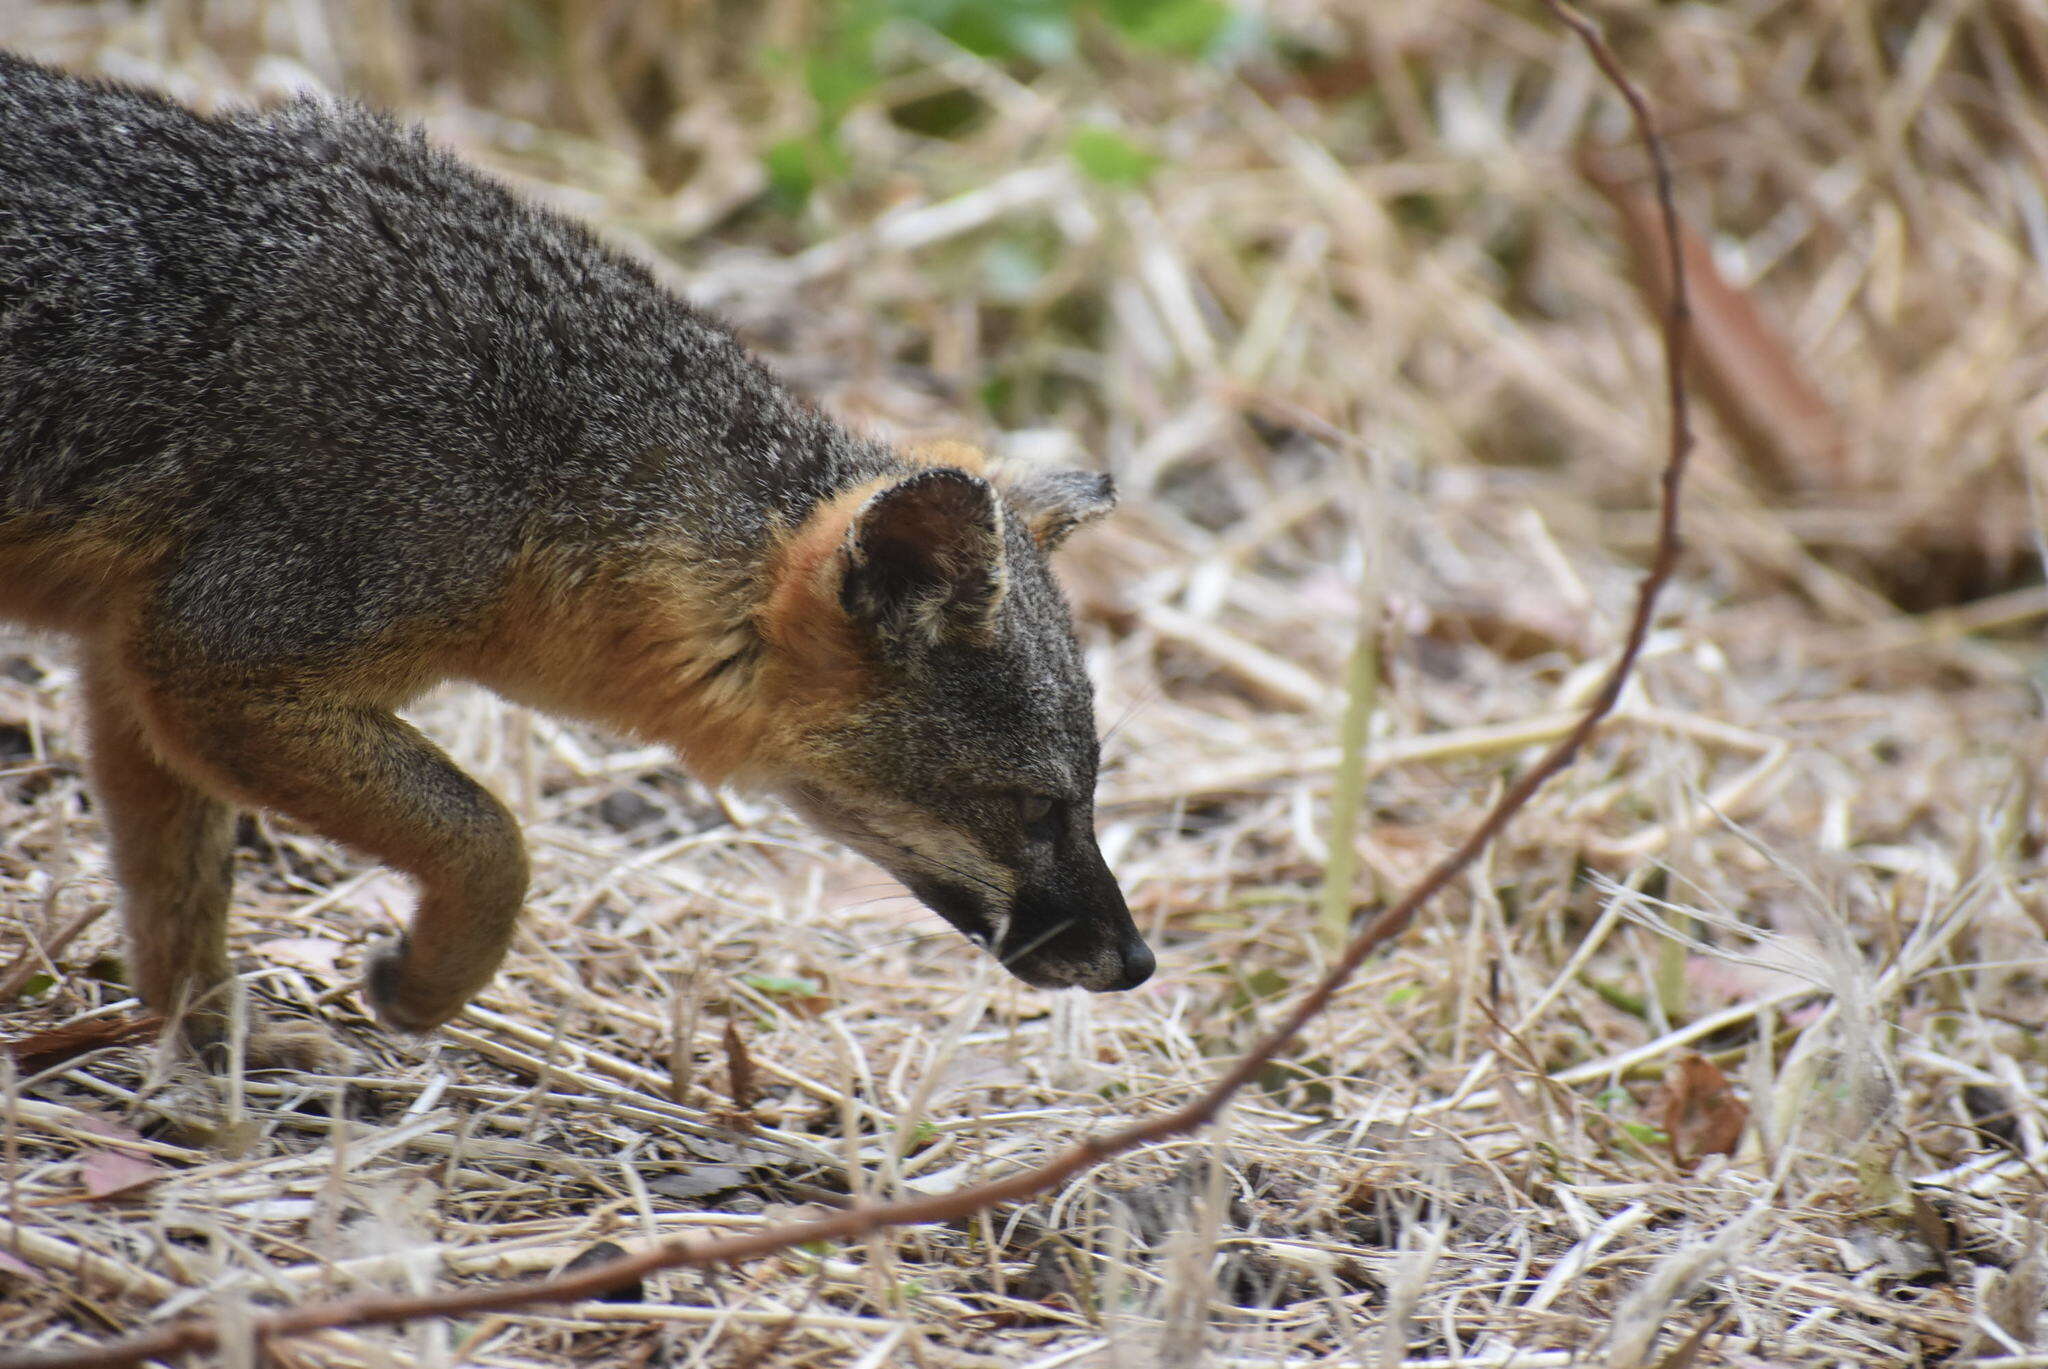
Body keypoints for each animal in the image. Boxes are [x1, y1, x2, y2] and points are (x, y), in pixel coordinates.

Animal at [0, 56, 1155, 1065]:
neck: (540, 452)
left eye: (1080, 799)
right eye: (1037, 808)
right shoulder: (215, 661)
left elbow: (175, 899)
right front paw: (432, 978)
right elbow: (492, 836)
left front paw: (213, 1051)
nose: (1138, 961)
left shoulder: (134, 663)